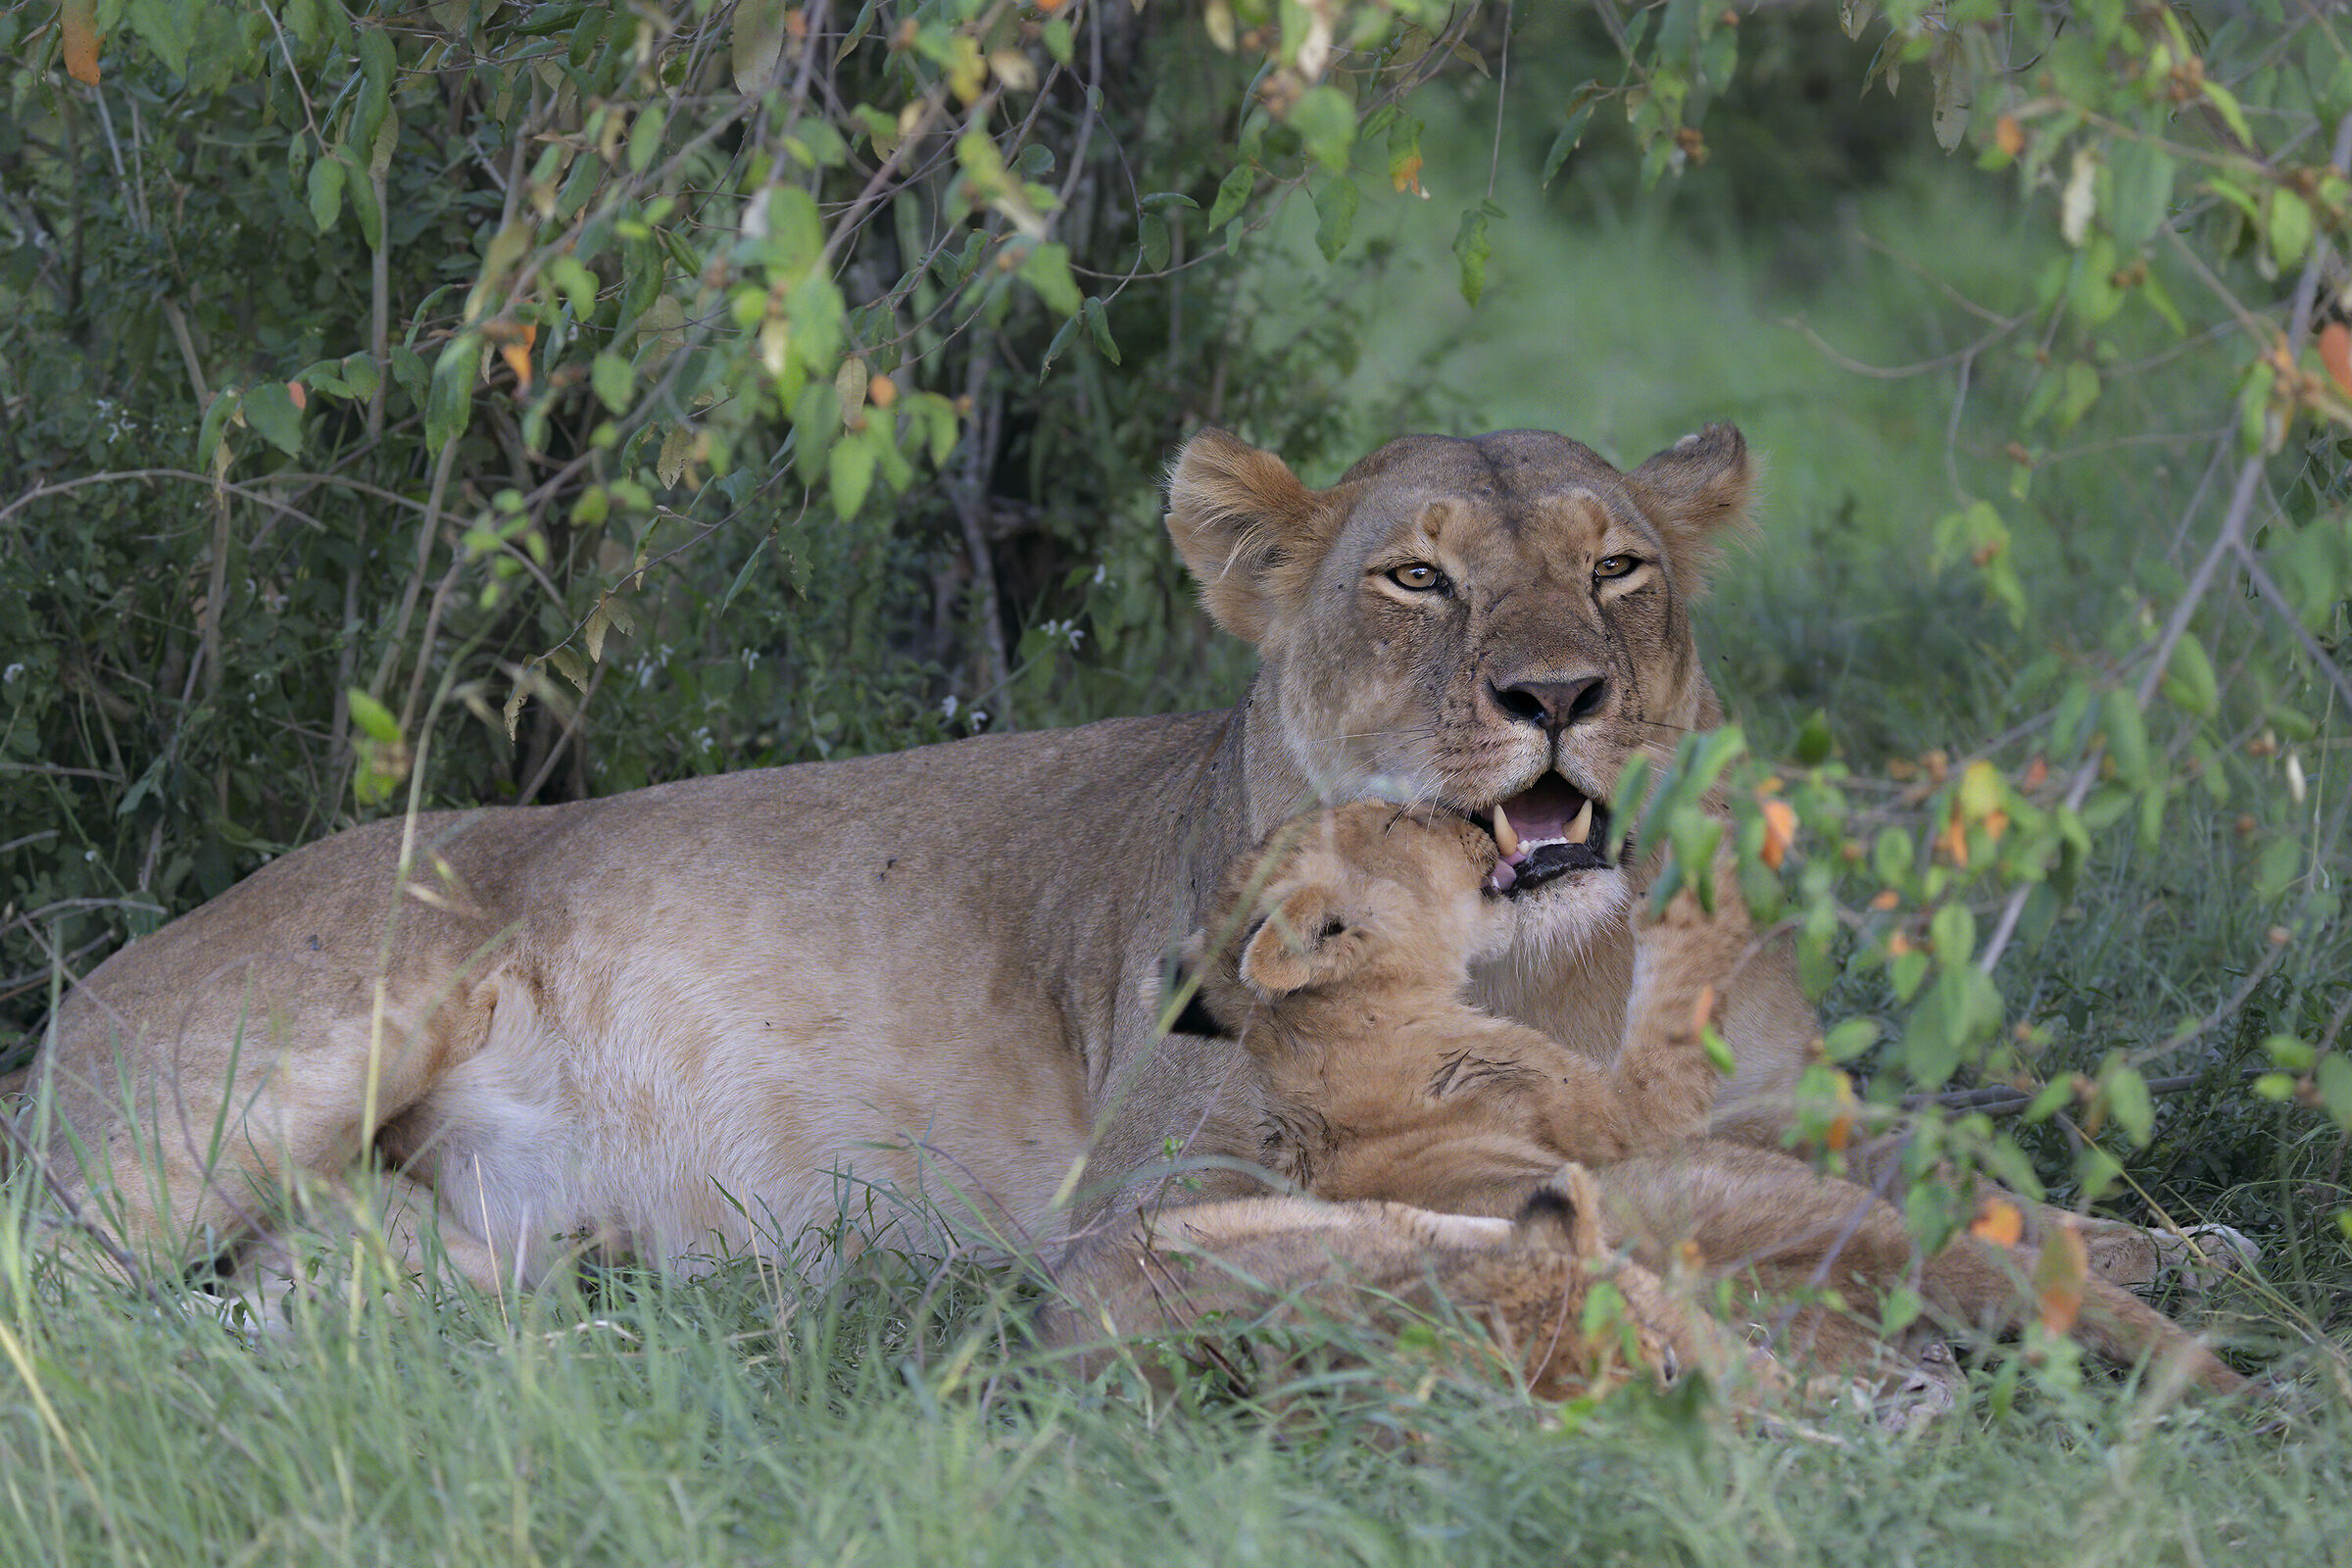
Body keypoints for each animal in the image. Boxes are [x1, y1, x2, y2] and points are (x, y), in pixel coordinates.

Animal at [4, 422, 2211, 1307]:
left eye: (1619, 567)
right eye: (1416, 578)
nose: (1560, 692)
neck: (1551, 972)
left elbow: (1943, 1159)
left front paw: (2168, 1248)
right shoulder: (1167, 1190)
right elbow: (1494, 1192)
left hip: (451, 1250)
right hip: (284, 1042)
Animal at [1063, 801, 2247, 1403]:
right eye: (1395, 821)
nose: (1456, 806)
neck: (1325, 1035)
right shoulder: (1627, 1114)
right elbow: (1675, 1007)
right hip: (1778, 1203)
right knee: (2045, 1269)